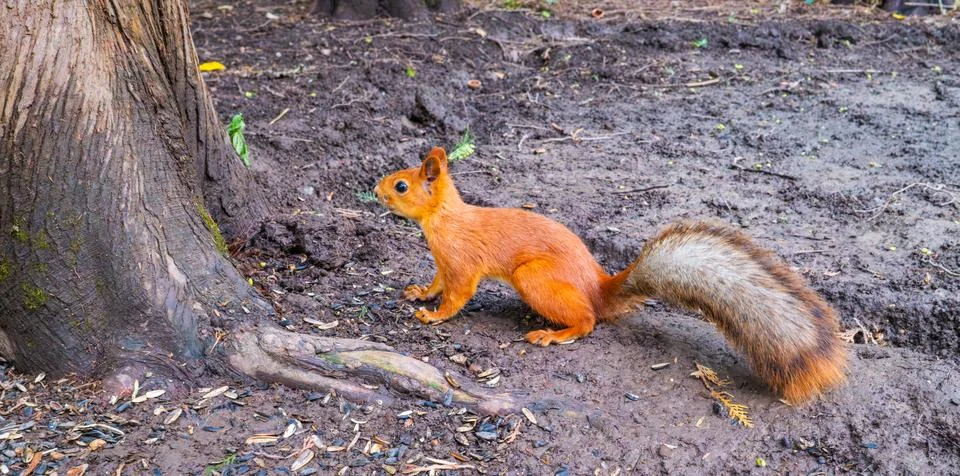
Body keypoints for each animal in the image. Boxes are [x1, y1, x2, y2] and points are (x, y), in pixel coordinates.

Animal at [374, 146, 846, 403]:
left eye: (401, 185)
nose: (375, 189)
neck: (444, 219)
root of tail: (599, 287)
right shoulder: (443, 264)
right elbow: (436, 283)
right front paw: (419, 294)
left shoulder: (462, 263)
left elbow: (456, 295)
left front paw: (434, 316)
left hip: (535, 280)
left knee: (587, 321)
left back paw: (554, 334)